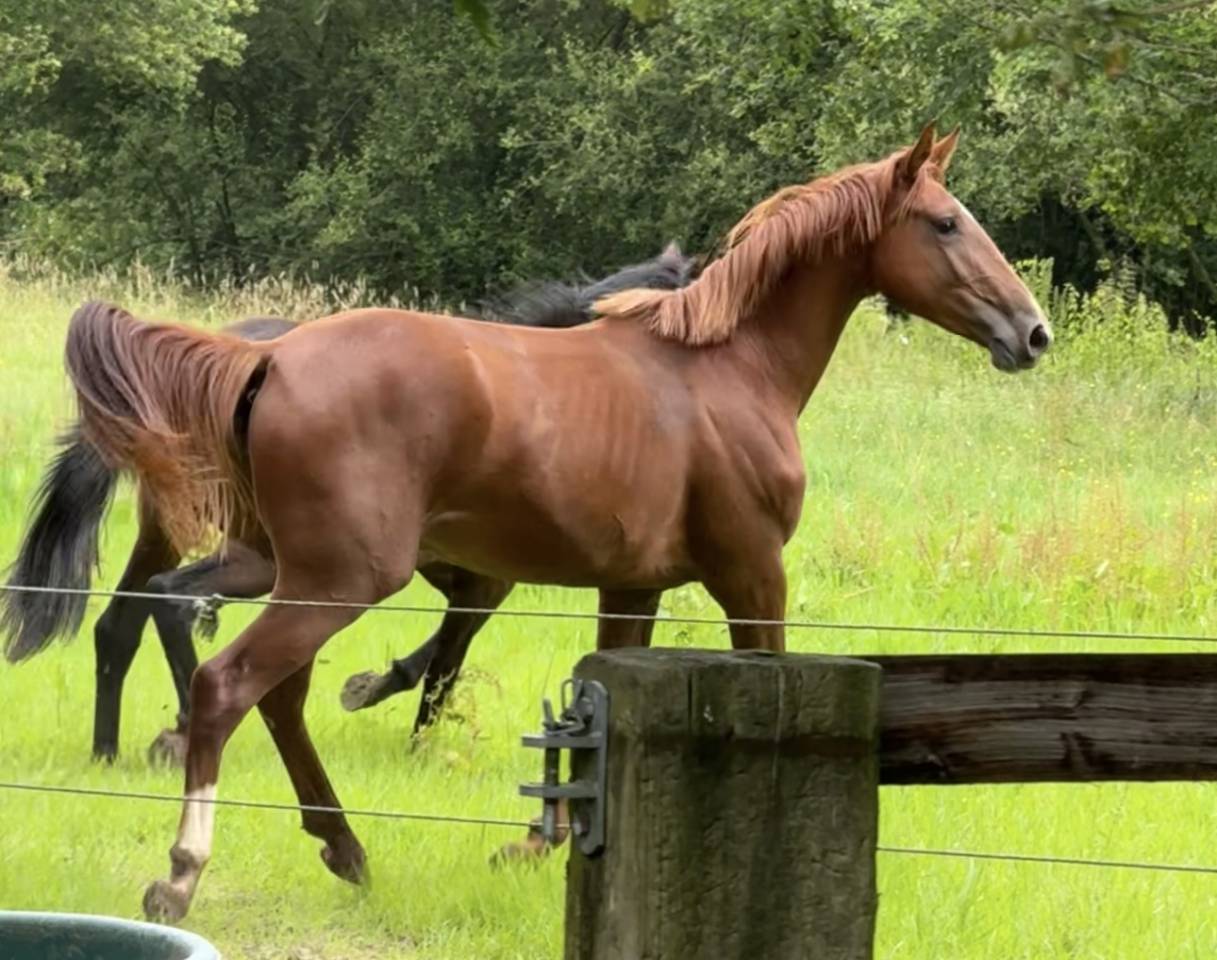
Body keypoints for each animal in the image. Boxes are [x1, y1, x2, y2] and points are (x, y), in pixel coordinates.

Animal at [2, 245, 695, 764]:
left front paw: (379, 690)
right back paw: (181, 728)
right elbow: (447, 656)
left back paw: (110, 752)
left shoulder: (467, 577)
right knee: (170, 600)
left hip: (166, 533)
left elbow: (444, 647)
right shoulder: (482, 579)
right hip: (255, 556)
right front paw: (405, 726)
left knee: (120, 623)